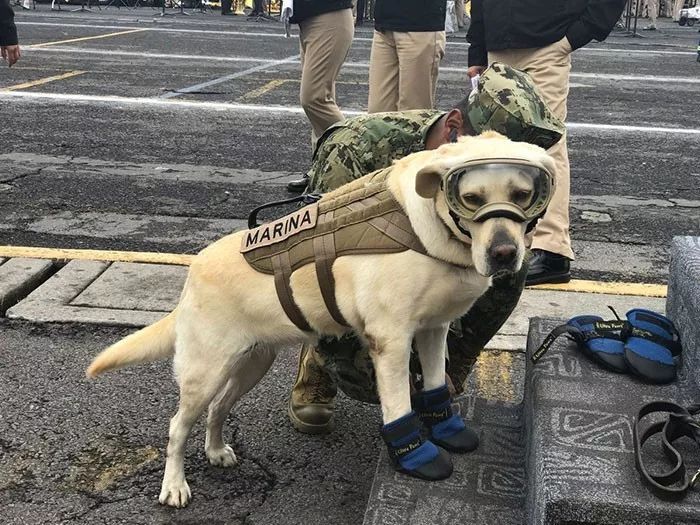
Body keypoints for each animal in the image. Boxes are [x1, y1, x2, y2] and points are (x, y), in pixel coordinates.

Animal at [87, 132, 556, 508]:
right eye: (472, 199)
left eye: (522, 194)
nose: (504, 254)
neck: (432, 230)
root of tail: (192, 274)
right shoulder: (390, 341)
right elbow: (400, 406)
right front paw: (416, 456)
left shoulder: (433, 331)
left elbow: (436, 386)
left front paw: (448, 429)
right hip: (205, 371)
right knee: (176, 427)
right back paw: (174, 486)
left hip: (251, 363)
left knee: (219, 408)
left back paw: (217, 451)